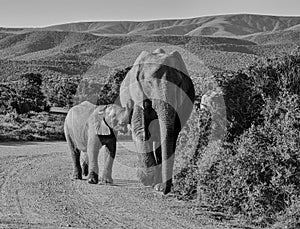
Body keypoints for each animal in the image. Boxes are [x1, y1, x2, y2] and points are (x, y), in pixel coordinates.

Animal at [119, 48, 195, 195]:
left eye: (179, 84)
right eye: (149, 83)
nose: (165, 190)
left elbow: (171, 133)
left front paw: (155, 184)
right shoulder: (137, 94)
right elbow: (141, 130)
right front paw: (145, 179)